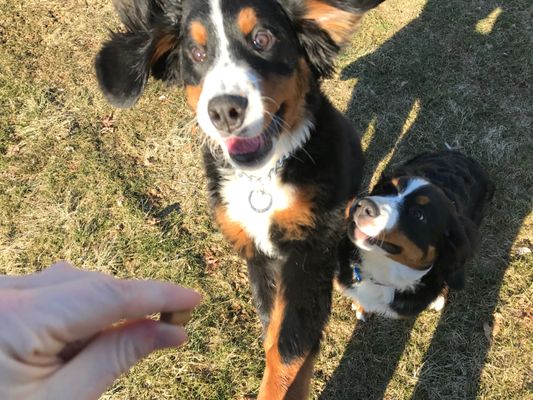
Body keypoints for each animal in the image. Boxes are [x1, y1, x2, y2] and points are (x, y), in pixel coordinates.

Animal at [95, 0, 384, 396]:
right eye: (196, 53)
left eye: (262, 38)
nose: (224, 111)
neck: (261, 180)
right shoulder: (259, 255)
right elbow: (277, 338)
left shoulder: (309, 251)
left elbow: (288, 350)